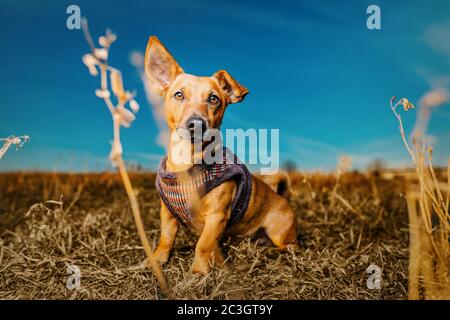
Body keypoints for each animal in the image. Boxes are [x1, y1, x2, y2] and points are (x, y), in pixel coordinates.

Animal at [144, 35, 298, 276]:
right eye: (179, 95)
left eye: (214, 99)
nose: (196, 123)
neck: (187, 163)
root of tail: (280, 197)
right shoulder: (167, 214)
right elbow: (166, 238)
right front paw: (158, 260)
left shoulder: (217, 217)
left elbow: (203, 245)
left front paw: (198, 273)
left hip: (279, 232)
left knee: (291, 246)